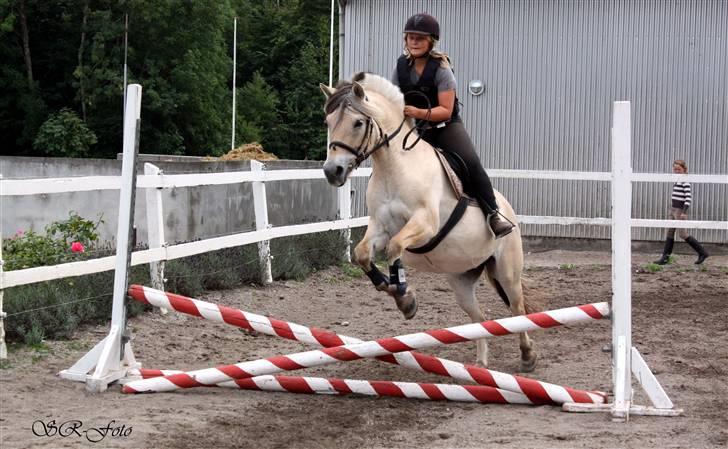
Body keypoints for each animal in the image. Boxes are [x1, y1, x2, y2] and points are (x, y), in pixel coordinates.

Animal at [322, 71, 536, 372]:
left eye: (358, 122)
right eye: (328, 122)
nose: (333, 171)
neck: (394, 165)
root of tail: (509, 210)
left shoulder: (425, 224)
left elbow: (395, 248)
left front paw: (403, 295)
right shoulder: (379, 226)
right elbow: (363, 253)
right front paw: (395, 291)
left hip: (507, 271)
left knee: (517, 310)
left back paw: (528, 356)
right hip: (461, 279)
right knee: (479, 317)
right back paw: (480, 363)